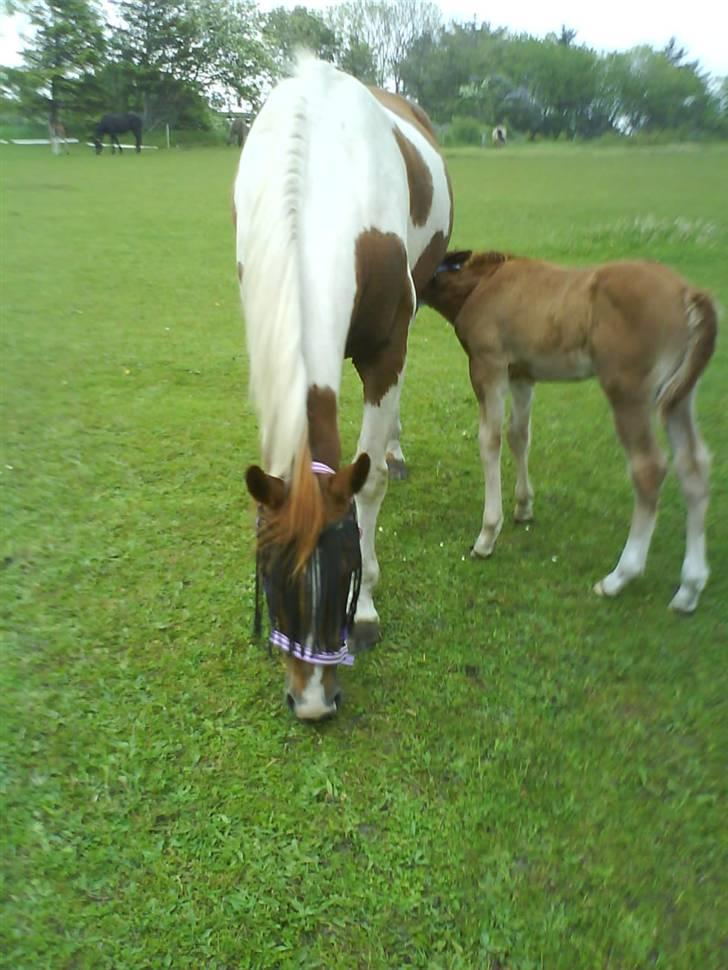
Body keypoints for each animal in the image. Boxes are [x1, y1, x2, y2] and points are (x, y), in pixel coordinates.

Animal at [233, 54, 452, 720]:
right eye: (269, 577)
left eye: (348, 576)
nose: (311, 704)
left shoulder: (386, 349)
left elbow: (368, 482)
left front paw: (372, 612)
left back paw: (396, 448)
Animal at [420, 250, 716, 612]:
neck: (481, 284)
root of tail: (688, 293)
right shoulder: (521, 374)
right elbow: (519, 436)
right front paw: (524, 507)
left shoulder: (488, 366)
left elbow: (490, 441)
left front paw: (487, 536)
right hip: (678, 398)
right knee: (693, 467)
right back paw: (689, 589)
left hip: (628, 392)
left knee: (649, 468)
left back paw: (619, 577)